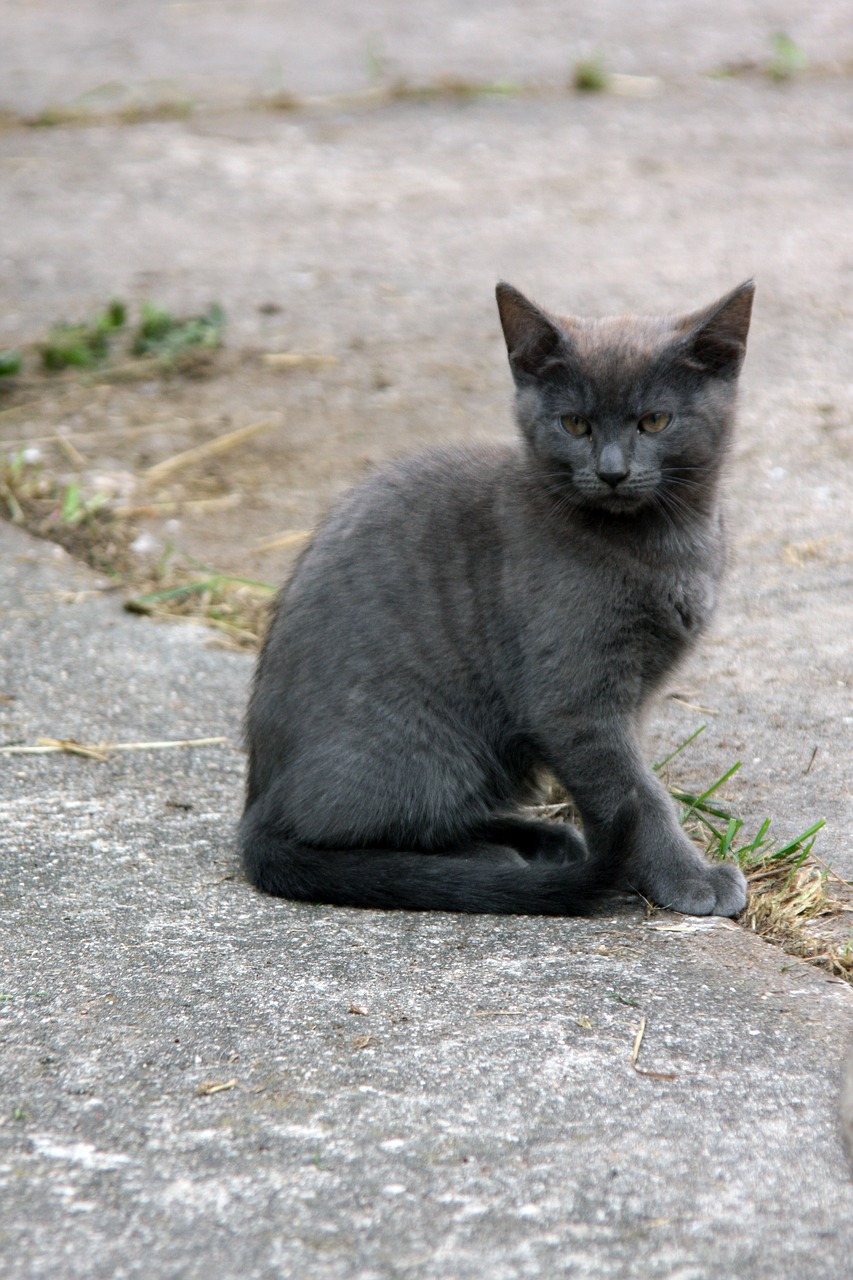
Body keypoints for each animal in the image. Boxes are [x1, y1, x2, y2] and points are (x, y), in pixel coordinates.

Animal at [239, 280, 753, 921]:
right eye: (575, 424)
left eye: (655, 421)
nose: (612, 471)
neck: (668, 544)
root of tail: (256, 805)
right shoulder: (572, 700)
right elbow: (635, 791)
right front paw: (688, 877)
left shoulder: (631, 698)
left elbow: (622, 784)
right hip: (430, 744)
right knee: (348, 832)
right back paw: (494, 858)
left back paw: (541, 840)